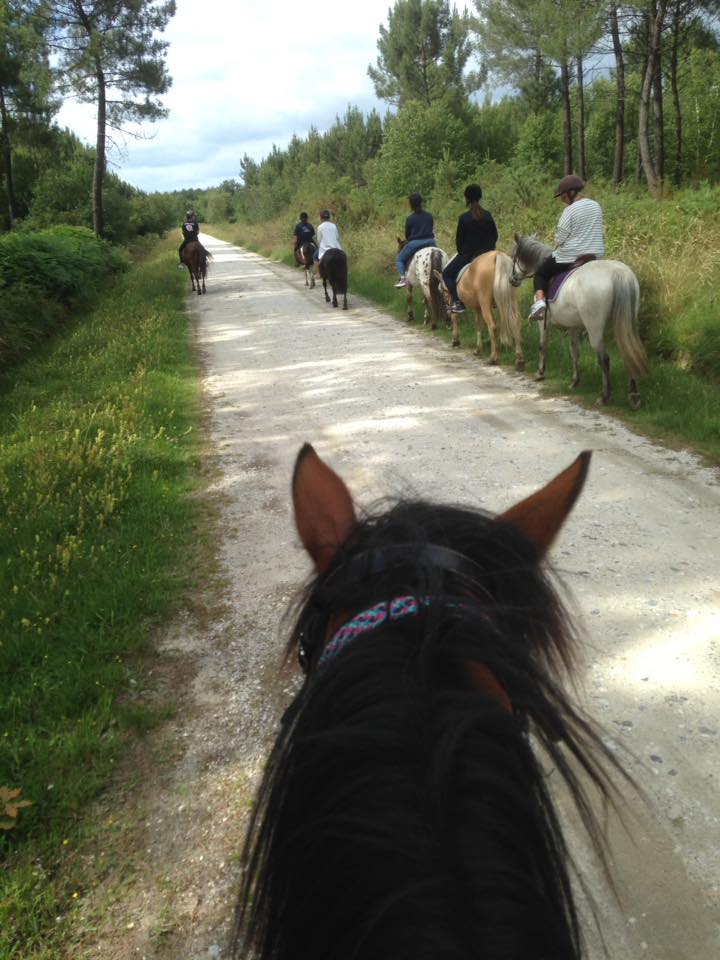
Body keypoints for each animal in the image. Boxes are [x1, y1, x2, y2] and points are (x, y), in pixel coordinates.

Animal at [510, 235, 648, 408]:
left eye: (513, 256)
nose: (512, 280)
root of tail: (618, 273)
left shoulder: (543, 323)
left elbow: (542, 345)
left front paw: (540, 373)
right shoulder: (573, 327)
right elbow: (574, 352)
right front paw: (575, 382)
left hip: (595, 328)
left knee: (604, 359)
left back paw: (604, 396)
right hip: (624, 324)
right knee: (628, 352)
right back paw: (633, 396)